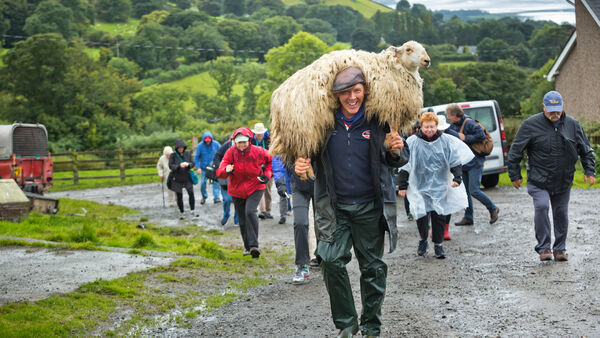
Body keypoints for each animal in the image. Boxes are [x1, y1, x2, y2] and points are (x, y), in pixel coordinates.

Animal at [270, 40, 428, 165]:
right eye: (408, 49)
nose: (427, 60)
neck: (393, 67)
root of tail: (277, 97)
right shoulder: (390, 105)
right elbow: (394, 127)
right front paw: (394, 147)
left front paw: (394, 145)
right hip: (303, 123)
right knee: (303, 152)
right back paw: (304, 171)